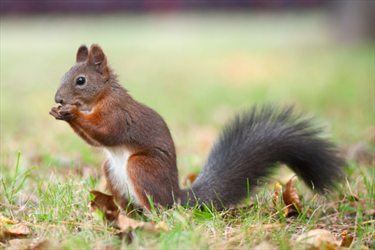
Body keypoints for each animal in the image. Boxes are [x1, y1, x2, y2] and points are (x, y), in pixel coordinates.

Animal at [50, 44, 346, 211]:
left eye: (80, 80)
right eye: (64, 75)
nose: (58, 99)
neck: (102, 97)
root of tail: (176, 197)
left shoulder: (118, 115)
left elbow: (106, 133)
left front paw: (71, 113)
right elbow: (95, 141)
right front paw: (60, 113)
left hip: (142, 166)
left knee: (162, 209)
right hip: (111, 172)